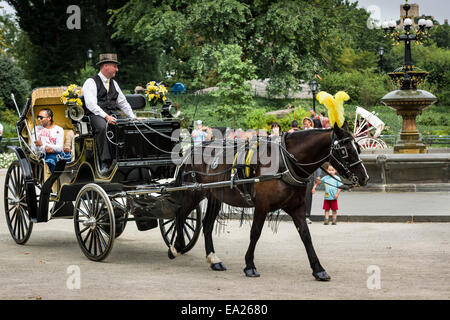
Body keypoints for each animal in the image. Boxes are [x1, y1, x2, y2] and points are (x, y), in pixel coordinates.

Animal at [169, 122, 370, 280]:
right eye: (345, 151)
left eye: (359, 148)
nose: (364, 178)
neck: (286, 161)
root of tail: (192, 149)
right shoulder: (262, 206)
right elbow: (255, 233)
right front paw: (250, 265)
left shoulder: (297, 207)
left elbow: (306, 236)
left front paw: (318, 269)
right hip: (193, 192)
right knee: (180, 214)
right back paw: (176, 245)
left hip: (214, 195)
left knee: (207, 224)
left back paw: (213, 259)